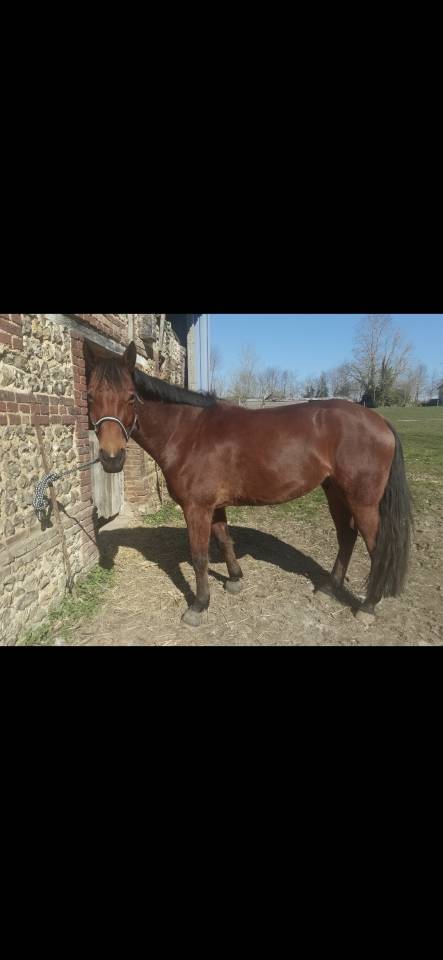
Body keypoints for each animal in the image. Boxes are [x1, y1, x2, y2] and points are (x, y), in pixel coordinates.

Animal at [85, 342, 412, 628]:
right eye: (89, 397)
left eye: (131, 397)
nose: (112, 459)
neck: (188, 433)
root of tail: (380, 421)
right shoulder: (213, 506)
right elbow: (224, 540)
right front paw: (234, 579)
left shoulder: (196, 508)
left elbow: (199, 556)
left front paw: (199, 605)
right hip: (336, 493)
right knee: (346, 537)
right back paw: (329, 589)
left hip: (363, 501)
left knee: (375, 547)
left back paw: (368, 606)